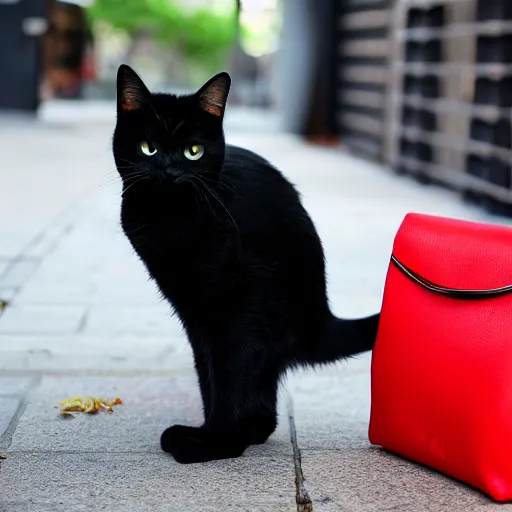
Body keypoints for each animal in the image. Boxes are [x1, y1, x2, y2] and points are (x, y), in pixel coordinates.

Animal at [113, 65, 380, 464]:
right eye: (149, 148)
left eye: (193, 152)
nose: (169, 170)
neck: (169, 219)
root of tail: (317, 319)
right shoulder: (193, 312)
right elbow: (210, 378)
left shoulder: (230, 310)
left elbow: (226, 381)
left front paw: (213, 439)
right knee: (260, 406)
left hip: (249, 315)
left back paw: (217, 441)